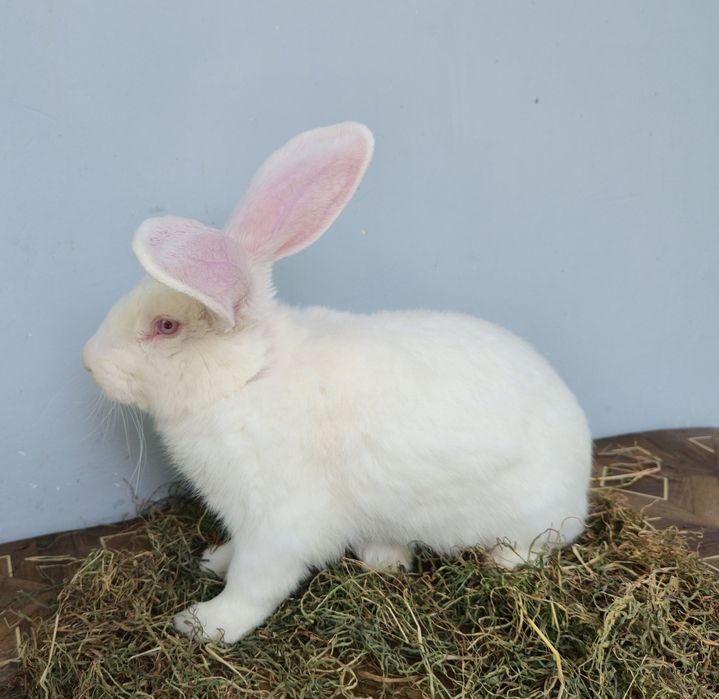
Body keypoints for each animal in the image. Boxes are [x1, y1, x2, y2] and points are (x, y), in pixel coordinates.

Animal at [83, 122, 592, 644]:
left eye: (166, 327)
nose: (88, 361)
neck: (250, 378)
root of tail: (582, 476)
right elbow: (236, 556)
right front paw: (212, 559)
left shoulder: (279, 523)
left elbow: (254, 584)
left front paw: (202, 623)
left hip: (527, 516)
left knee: (535, 545)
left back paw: (497, 559)